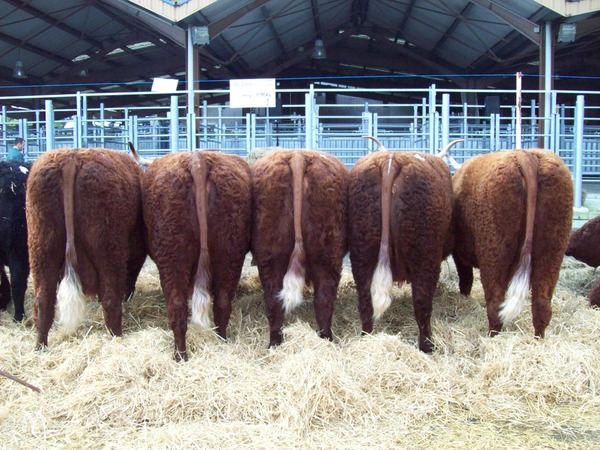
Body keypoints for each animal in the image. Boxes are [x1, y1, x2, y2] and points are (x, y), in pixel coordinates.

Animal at [27, 148, 146, 348]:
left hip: (41, 249)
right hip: (108, 249)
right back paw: (116, 339)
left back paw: (40, 346)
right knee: (111, 299)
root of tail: (71, 158)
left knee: (43, 301)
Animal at [142, 151, 252, 362]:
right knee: (222, 304)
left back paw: (180, 356)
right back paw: (221, 343)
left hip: (172, 259)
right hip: (229, 254)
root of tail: (198, 159)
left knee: (177, 307)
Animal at [251, 149, 350, 346]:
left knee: (276, 299)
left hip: (273, 254)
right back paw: (325, 339)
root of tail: (298, 155)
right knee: (322, 297)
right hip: (326, 254)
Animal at [350, 141, 452, 352]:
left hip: (362, 251)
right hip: (425, 253)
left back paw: (366, 338)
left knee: (365, 300)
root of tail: (392, 160)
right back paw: (428, 346)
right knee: (422, 302)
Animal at [452, 149, 576, 338]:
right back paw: (538, 339)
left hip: (494, 252)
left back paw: (492, 338)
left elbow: (466, 281)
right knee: (541, 305)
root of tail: (525, 155)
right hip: (552, 251)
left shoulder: (460, 255)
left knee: (495, 305)